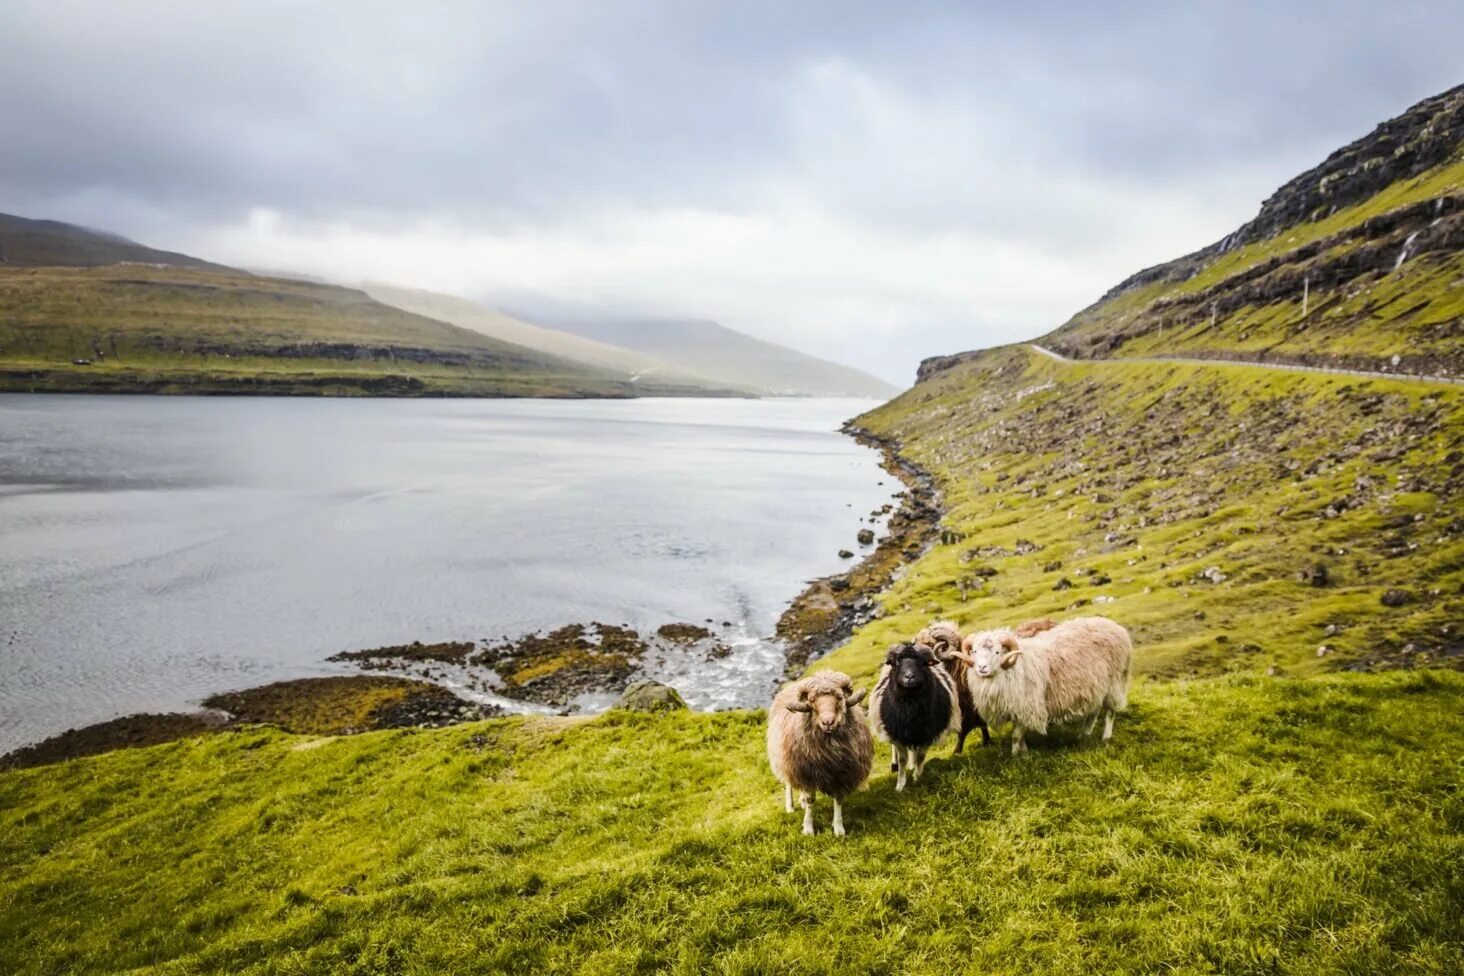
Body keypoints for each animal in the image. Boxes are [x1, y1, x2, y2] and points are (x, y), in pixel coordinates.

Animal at [767, 673, 866, 842]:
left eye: (839, 698)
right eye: (812, 700)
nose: (828, 722)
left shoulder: (842, 775)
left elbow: (838, 799)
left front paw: (839, 829)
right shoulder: (806, 773)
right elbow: (810, 800)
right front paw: (808, 829)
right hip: (786, 761)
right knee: (789, 783)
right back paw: (790, 806)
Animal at [866, 643, 960, 790]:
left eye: (923, 663)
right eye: (896, 663)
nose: (909, 677)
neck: (911, 709)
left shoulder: (927, 733)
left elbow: (921, 756)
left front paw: (917, 777)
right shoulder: (897, 735)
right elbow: (902, 759)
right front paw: (900, 785)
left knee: (914, 751)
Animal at [948, 617, 1130, 755]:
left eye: (997, 652)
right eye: (975, 651)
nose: (982, 668)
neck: (1014, 667)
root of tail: (1114, 625)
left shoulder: (1028, 706)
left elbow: (1016, 735)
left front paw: (1016, 756)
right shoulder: (1016, 709)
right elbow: (1020, 735)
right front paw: (1025, 752)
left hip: (1114, 682)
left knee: (1110, 712)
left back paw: (1105, 737)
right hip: (1095, 686)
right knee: (1094, 710)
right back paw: (1084, 734)